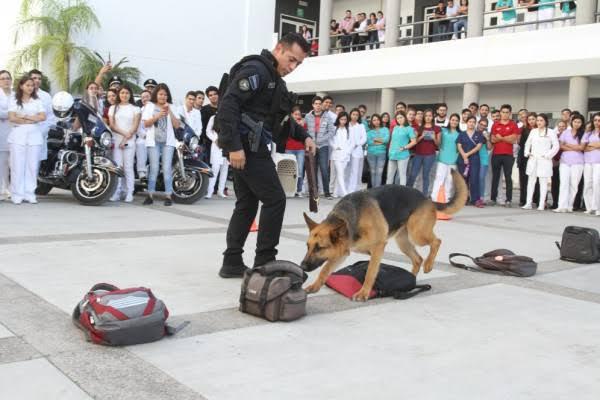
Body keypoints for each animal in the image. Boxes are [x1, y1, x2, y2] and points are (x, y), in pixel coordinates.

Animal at [302, 170, 466, 302]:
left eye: (319, 248)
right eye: (308, 246)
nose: (302, 266)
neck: (349, 219)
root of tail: (427, 198)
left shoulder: (377, 248)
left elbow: (370, 273)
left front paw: (363, 293)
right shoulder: (341, 253)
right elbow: (325, 270)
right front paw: (315, 286)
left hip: (417, 234)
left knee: (436, 241)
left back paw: (429, 264)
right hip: (403, 242)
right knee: (417, 259)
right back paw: (411, 279)